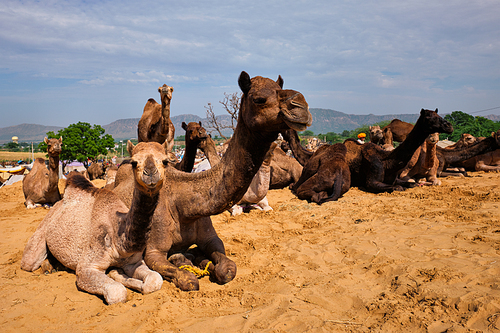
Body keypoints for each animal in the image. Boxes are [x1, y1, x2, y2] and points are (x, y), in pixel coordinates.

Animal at [20, 140, 169, 304]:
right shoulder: (86, 267)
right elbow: (117, 292)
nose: (151, 174)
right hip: (41, 233)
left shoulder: (134, 262)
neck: (119, 239)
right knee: (29, 262)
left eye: (166, 161)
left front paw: (117, 273)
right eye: (134, 162)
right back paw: (48, 267)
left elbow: (155, 279)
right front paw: (115, 275)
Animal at [142, 71, 312, 290]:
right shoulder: (153, 250)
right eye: (259, 99)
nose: (301, 105)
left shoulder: (211, 236)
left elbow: (227, 268)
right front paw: (187, 267)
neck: (183, 202)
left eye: (279, 88)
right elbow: (188, 280)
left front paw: (208, 265)